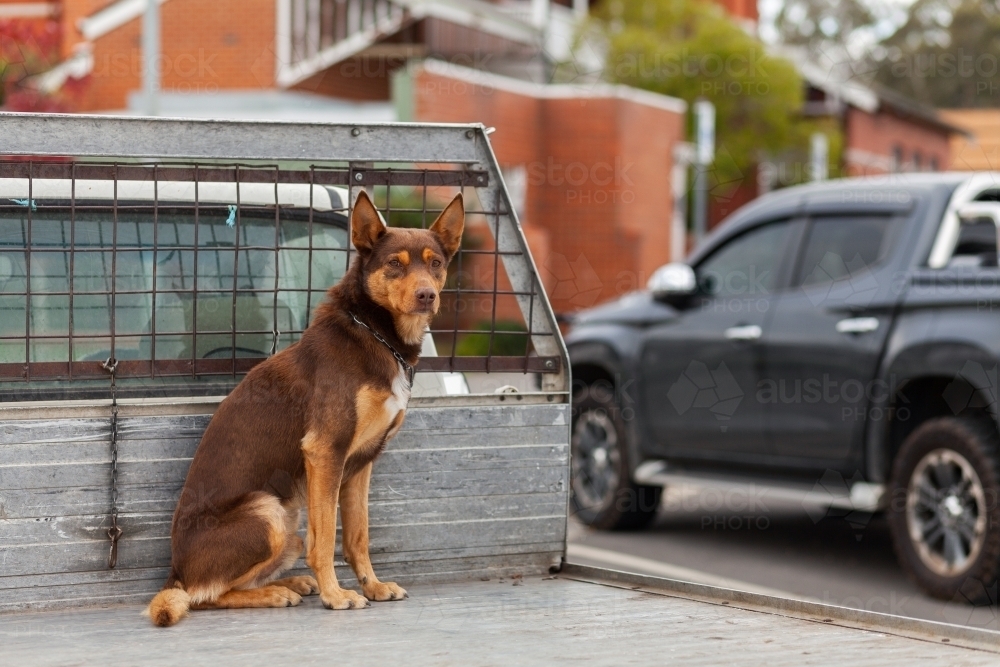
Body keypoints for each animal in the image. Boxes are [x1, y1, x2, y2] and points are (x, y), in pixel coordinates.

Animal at [145, 192, 464, 628]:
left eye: (435, 264)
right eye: (394, 264)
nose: (426, 295)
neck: (376, 334)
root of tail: (175, 572)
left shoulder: (359, 464)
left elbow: (358, 536)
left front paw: (373, 587)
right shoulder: (325, 452)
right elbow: (326, 537)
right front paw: (337, 595)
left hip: (286, 524)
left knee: (220, 586)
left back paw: (289, 583)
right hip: (268, 512)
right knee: (202, 595)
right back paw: (277, 593)